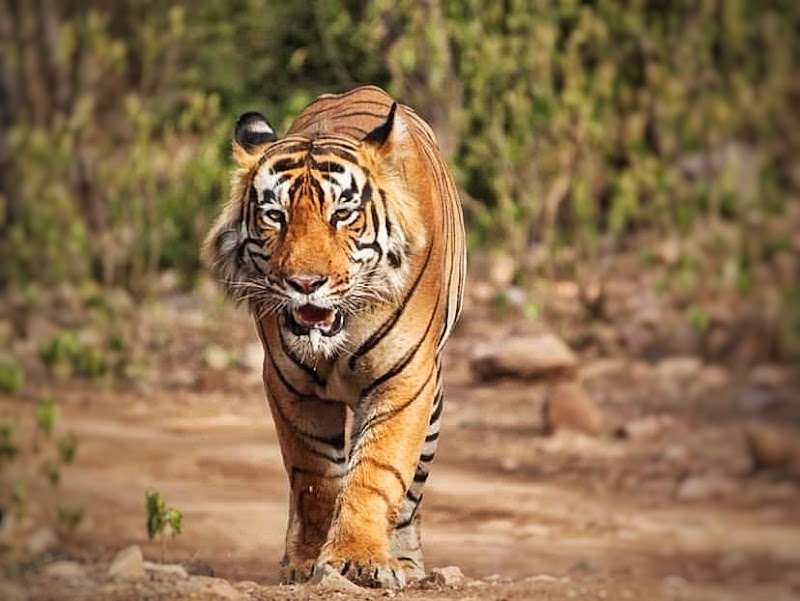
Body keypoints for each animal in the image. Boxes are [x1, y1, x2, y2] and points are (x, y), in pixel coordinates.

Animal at [202, 85, 466, 588]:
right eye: (275, 216)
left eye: (342, 215)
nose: (305, 283)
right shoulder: (288, 384)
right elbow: (315, 477)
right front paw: (306, 563)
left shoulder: (405, 380)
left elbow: (378, 471)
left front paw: (360, 559)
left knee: (411, 496)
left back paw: (407, 562)